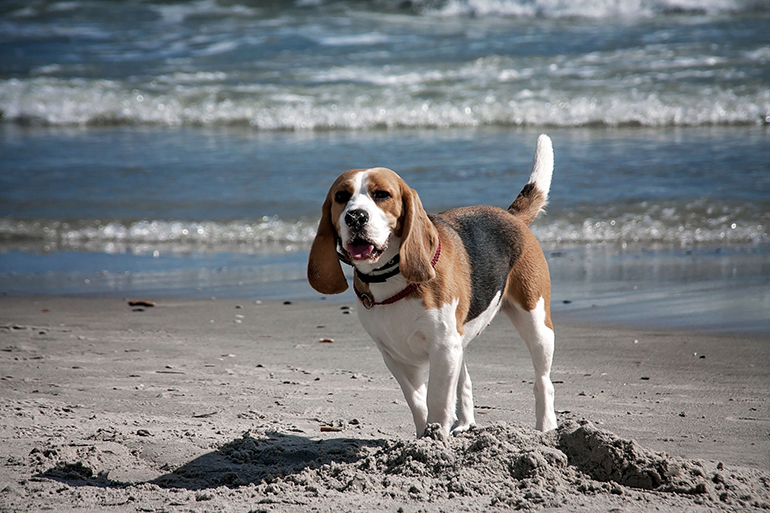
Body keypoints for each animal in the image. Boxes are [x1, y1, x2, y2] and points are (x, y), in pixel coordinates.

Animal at [308, 134, 556, 438]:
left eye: (382, 195)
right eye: (341, 197)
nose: (355, 217)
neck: (390, 278)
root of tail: (511, 216)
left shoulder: (443, 348)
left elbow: (437, 400)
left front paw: (435, 435)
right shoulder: (396, 357)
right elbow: (417, 401)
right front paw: (424, 438)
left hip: (536, 322)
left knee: (543, 381)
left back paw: (546, 428)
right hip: (461, 340)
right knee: (465, 382)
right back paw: (465, 424)